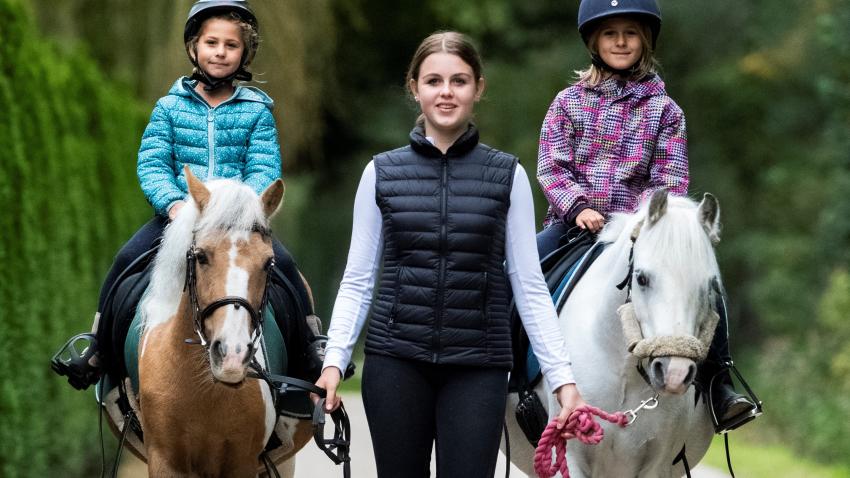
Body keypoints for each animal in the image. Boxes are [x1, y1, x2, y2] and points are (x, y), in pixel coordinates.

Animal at [106, 167, 312, 474]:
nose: (231, 355)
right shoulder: (165, 461)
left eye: (268, 263)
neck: (206, 391)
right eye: (200, 256)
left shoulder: (242, 462)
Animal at [506, 190, 720, 478]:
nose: (675, 372)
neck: (624, 371)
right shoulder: (570, 457)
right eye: (641, 278)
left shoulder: (657, 467)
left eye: (709, 286)